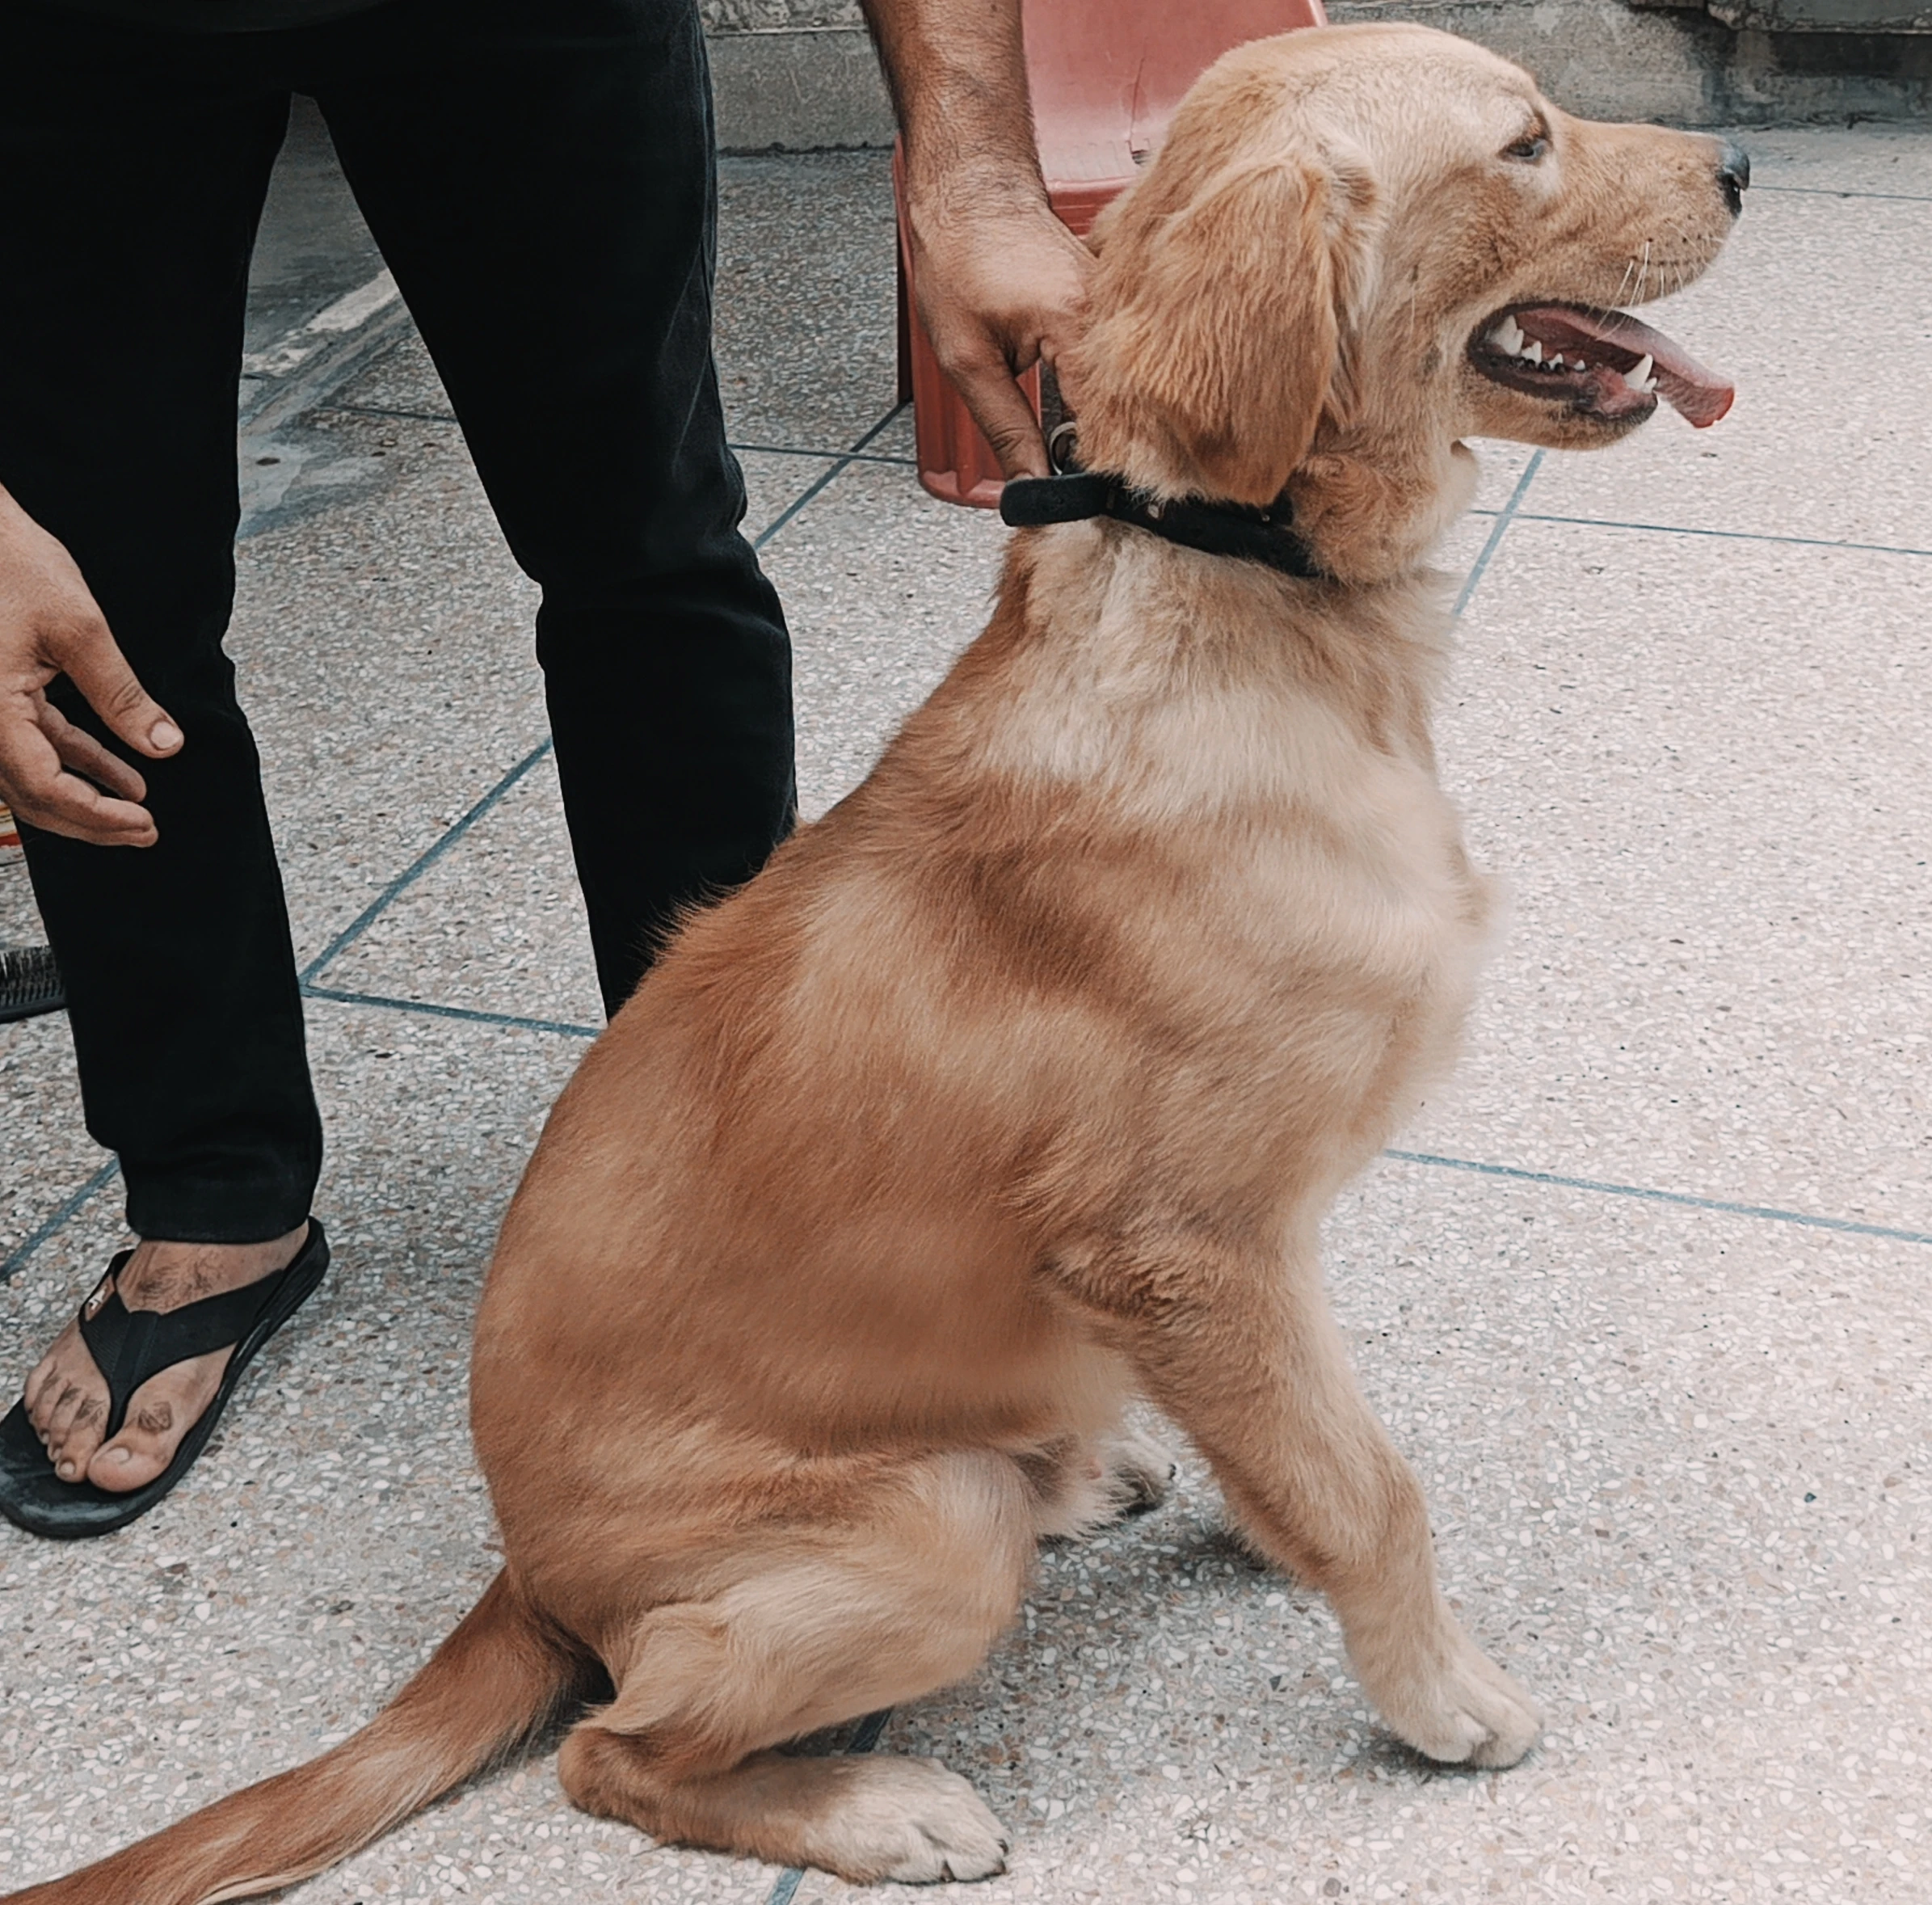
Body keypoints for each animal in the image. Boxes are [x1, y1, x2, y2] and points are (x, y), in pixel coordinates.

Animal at [3, 19, 1738, 1901]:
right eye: (1522, 142)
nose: (1736, 166)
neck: (1243, 597)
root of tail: (523, 1576)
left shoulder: (1227, 1273)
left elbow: (1309, 1449)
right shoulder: (1192, 1247)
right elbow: (1370, 1488)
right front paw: (1435, 1692)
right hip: (924, 1525)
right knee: (617, 1747)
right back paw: (873, 1800)